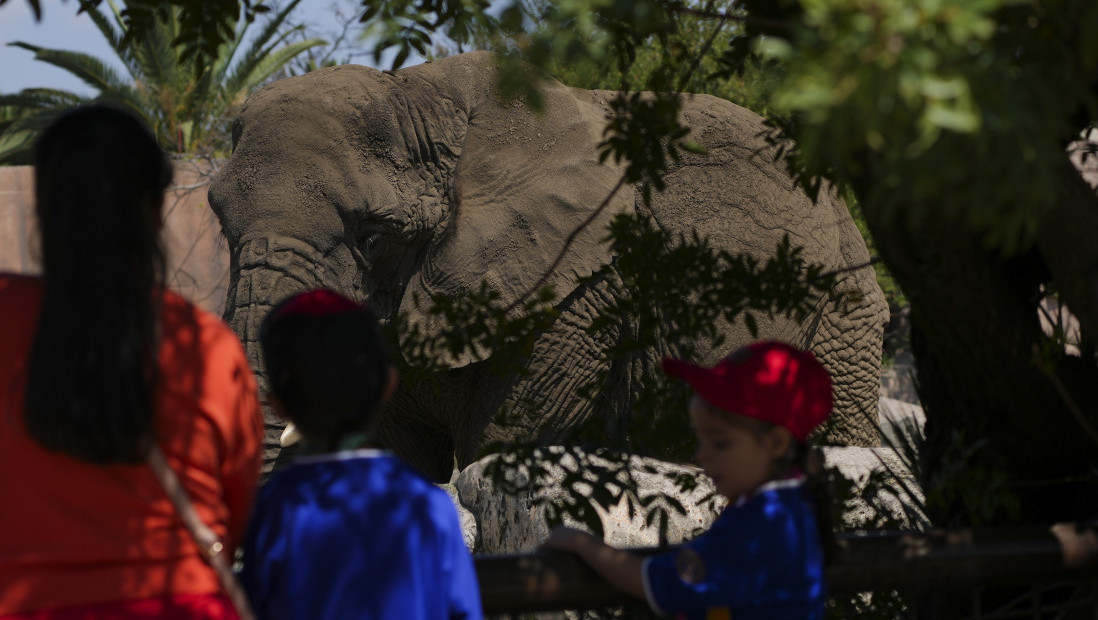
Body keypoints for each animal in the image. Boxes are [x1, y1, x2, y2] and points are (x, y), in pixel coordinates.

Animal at [209, 53, 887, 478]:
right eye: (221, 225)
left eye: (373, 238)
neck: (426, 97)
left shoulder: (576, 287)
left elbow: (504, 440)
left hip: (842, 317)